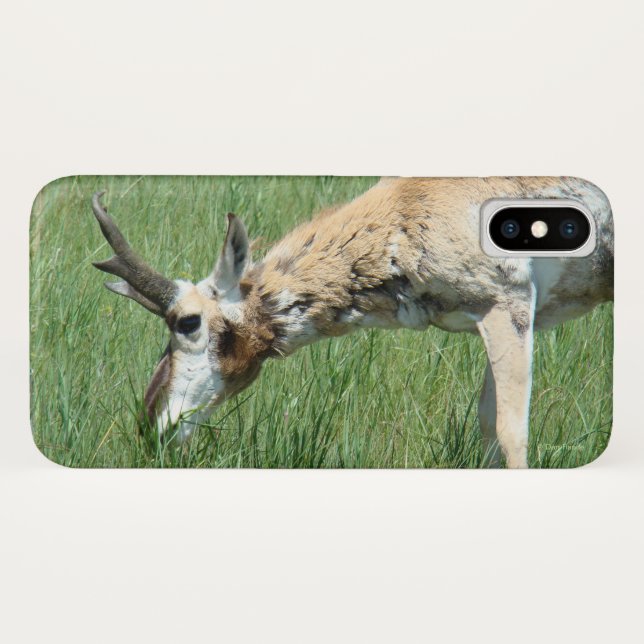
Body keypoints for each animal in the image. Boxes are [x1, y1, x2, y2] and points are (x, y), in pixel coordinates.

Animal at [91, 177, 613, 468]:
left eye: (187, 322)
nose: (149, 428)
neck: (411, 205)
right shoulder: (490, 318)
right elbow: (488, 429)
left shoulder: (509, 307)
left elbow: (512, 432)